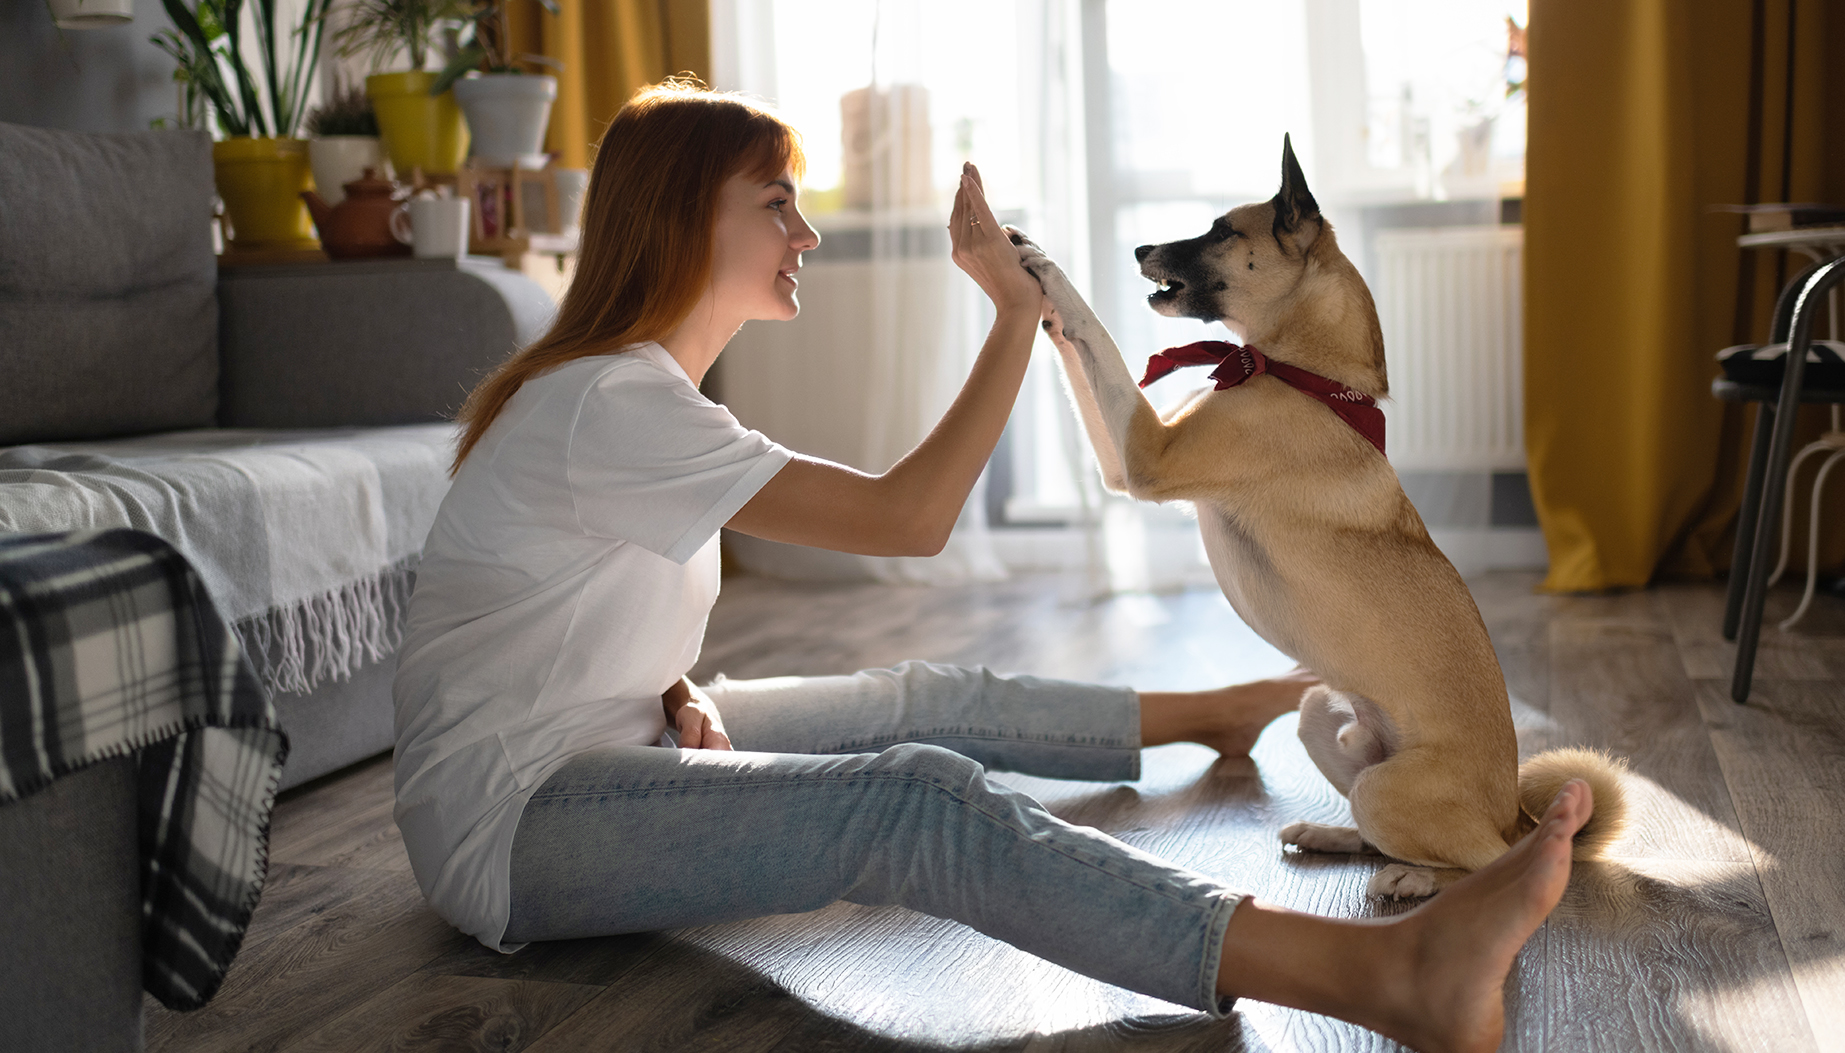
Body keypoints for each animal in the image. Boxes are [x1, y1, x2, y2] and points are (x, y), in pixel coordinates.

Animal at [1011, 138, 1630, 899]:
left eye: (1221, 231)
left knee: (1478, 863)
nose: (1138, 249)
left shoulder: (1145, 453)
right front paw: (1040, 296)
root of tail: (1514, 815)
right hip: (1319, 718)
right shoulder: (1128, 458)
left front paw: (1043, 264)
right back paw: (1330, 836)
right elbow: (1080, 356)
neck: (1296, 372)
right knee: (1379, 830)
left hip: (1389, 791)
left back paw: (1413, 879)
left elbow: (1095, 335)